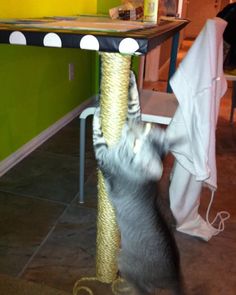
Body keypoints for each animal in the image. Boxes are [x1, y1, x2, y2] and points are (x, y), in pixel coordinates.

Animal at [92, 71, 184, 295]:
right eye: (148, 127)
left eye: (136, 146)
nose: (130, 130)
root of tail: (175, 275)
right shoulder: (134, 117)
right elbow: (134, 106)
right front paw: (131, 80)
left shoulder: (106, 161)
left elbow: (97, 137)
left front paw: (98, 114)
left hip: (124, 260)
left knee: (142, 288)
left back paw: (122, 286)